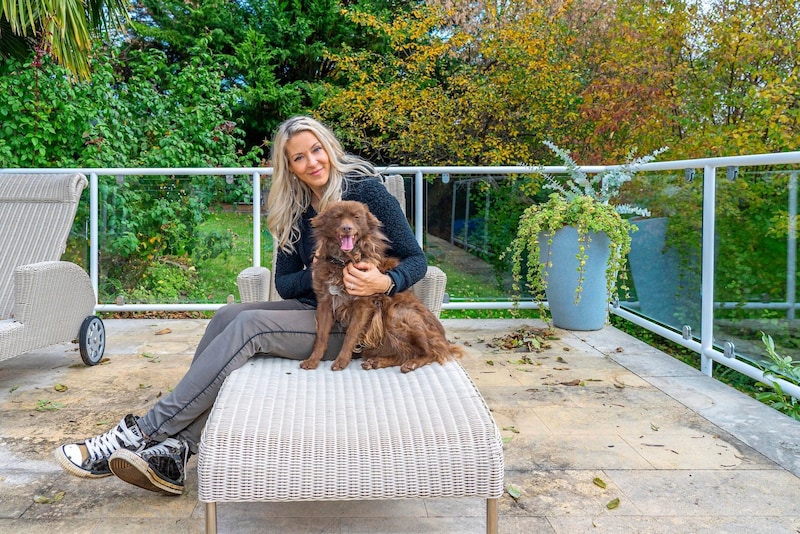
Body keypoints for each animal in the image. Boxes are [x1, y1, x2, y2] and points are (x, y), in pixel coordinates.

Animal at [298, 200, 462, 372]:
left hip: (396, 314)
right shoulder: (325, 302)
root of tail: (442, 339)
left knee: (429, 352)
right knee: (404, 353)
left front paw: (341, 361)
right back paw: (377, 362)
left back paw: (412, 363)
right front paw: (313, 360)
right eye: (337, 217)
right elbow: (321, 336)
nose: (347, 228)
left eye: (356, 217)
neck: (344, 261)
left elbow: (351, 334)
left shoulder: (363, 305)